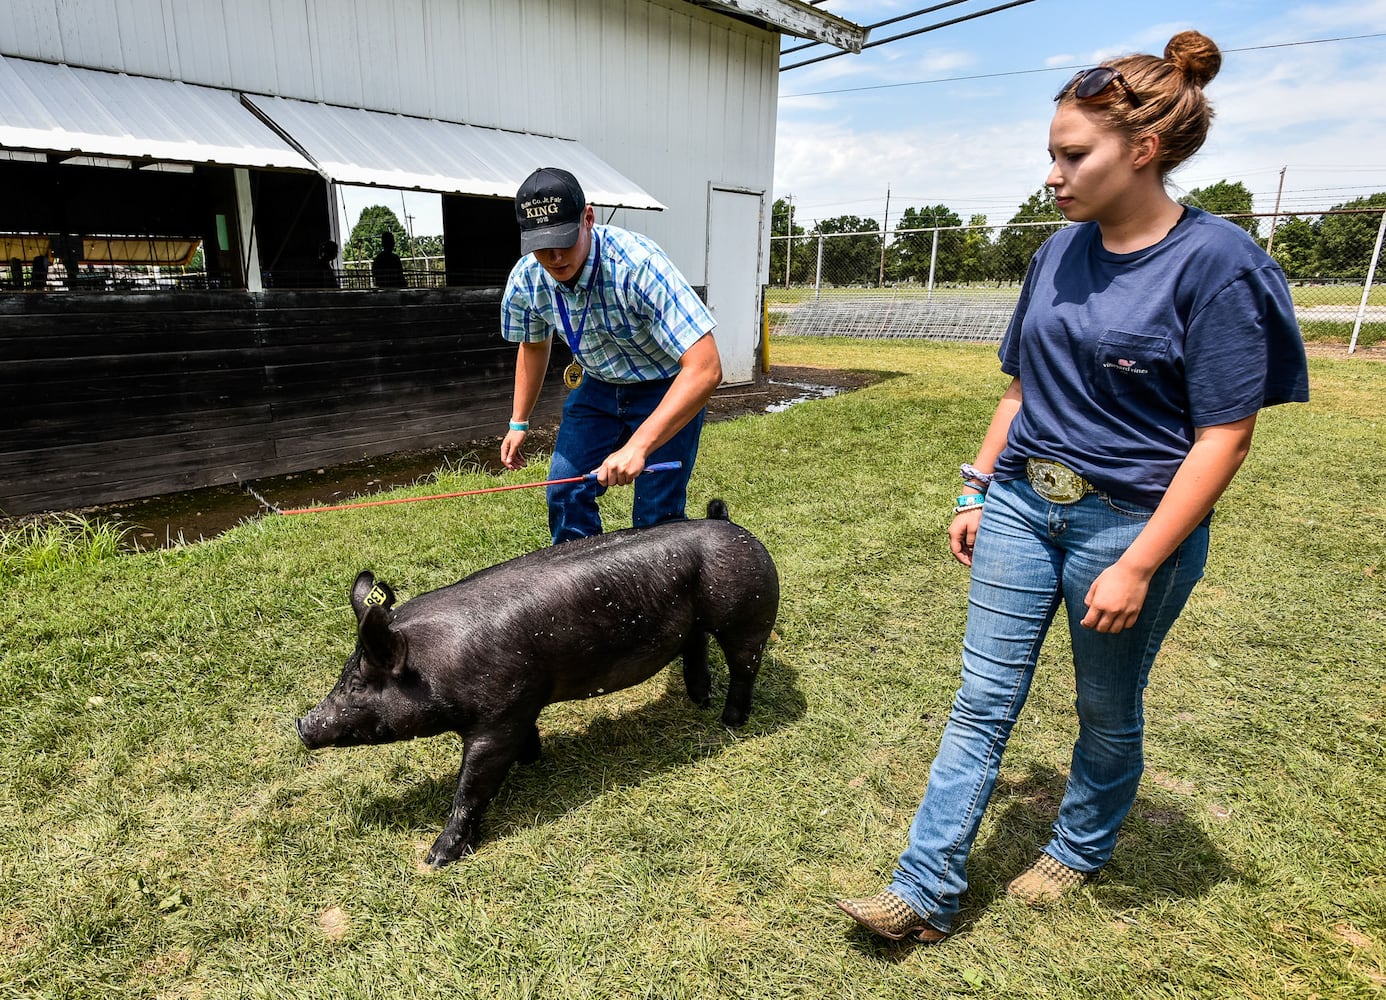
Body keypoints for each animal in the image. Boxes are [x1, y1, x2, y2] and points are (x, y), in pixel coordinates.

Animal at [296, 501, 776, 858]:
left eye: (358, 685)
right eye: (344, 674)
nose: (301, 724)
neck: (436, 667)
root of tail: (727, 522)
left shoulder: (496, 718)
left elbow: (471, 788)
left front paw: (435, 858)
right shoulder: (519, 705)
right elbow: (523, 739)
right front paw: (531, 759)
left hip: (748, 610)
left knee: (744, 667)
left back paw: (731, 722)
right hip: (697, 622)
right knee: (695, 647)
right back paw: (699, 699)